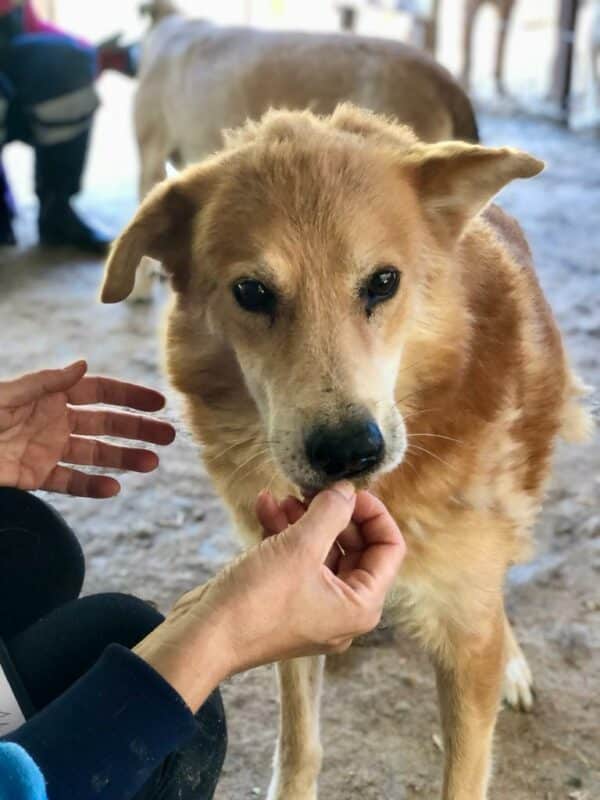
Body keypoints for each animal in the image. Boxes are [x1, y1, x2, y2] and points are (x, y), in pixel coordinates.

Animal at [99, 106, 592, 800]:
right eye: (252, 292)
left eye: (383, 282)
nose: (349, 453)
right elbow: (299, 749)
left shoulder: (466, 636)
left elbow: (464, 763)